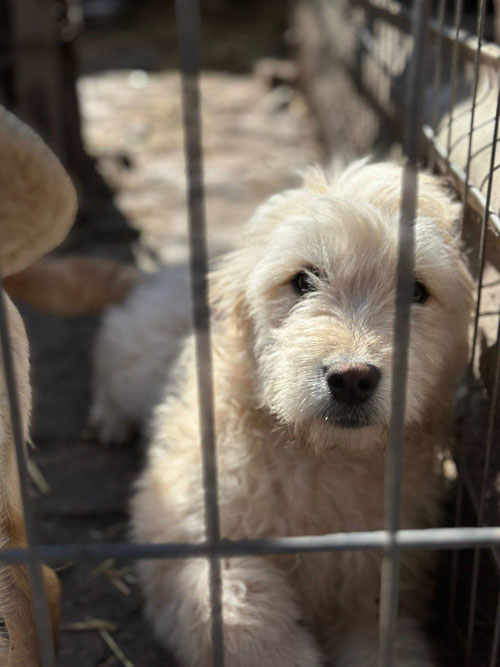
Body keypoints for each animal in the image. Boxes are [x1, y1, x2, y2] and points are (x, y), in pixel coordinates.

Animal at [129, 160, 473, 666]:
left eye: (416, 291)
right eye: (303, 281)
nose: (352, 378)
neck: (321, 457)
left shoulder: (375, 585)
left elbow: (385, 642)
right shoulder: (188, 539)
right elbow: (237, 609)